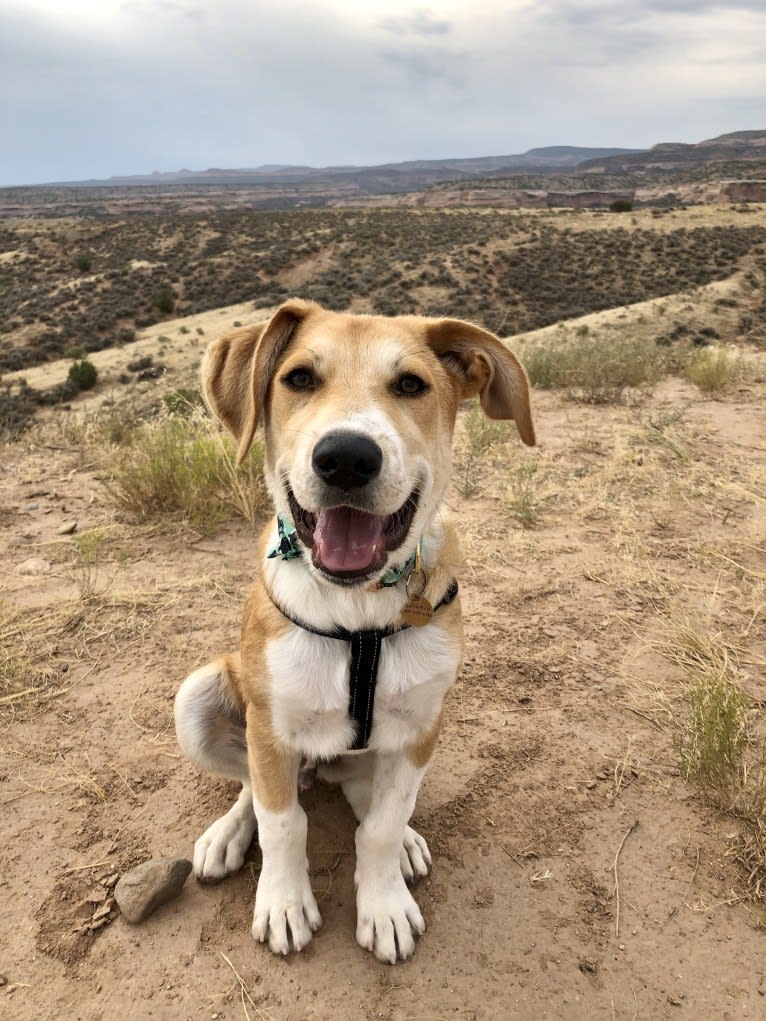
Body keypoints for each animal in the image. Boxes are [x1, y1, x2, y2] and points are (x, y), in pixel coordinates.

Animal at [175, 298, 535, 959]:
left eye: (411, 385)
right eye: (298, 378)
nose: (346, 457)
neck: (357, 613)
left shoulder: (422, 726)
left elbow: (384, 826)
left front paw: (385, 903)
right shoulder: (271, 731)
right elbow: (283, 821)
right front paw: (284, 902)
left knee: (366, 793)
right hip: (200, 695)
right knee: (251, 786)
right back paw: (227, 835)